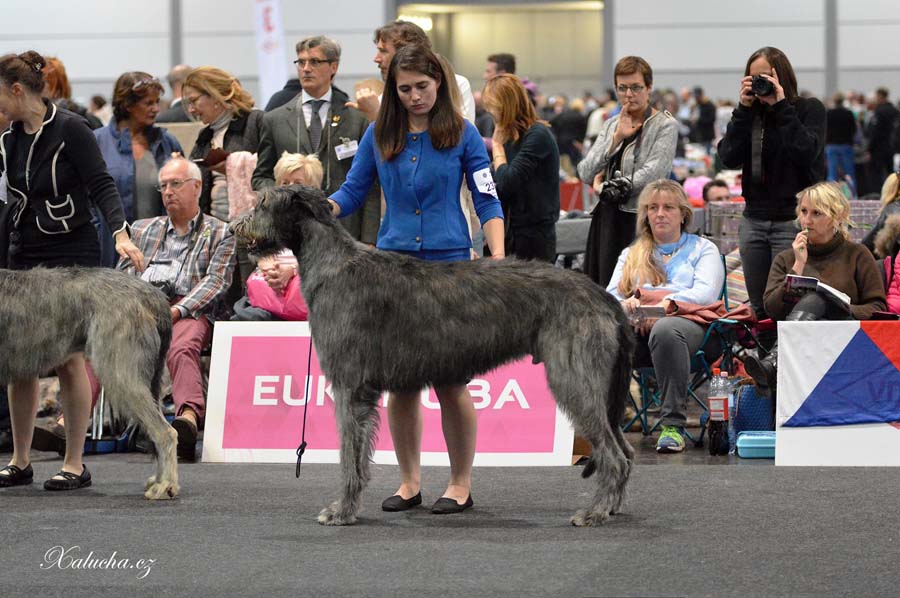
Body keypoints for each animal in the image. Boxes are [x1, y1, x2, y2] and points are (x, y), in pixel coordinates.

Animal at [236, 185, 636, 528]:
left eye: (263, 203)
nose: (237, 226)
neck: (332, 264)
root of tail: (603, 296)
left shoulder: (349, 386)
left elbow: (349, 455)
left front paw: (341, 510)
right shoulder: (362, 392)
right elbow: (360, 455)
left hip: (575, 377)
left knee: (614, 454)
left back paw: (595, 512)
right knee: (625, 449)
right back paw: (613, 506)